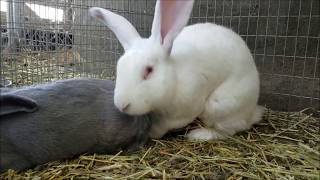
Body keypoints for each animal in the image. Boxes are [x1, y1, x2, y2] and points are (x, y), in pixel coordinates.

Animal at [88, 0, 264, 141]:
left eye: (149, 70)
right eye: (119, 67)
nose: (122, 104)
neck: (174, 77)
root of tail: (252, 111)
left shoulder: (183, 112)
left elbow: (164, 126)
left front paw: (151, 133)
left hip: (220, 106)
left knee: (229, 130)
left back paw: (199, 135)